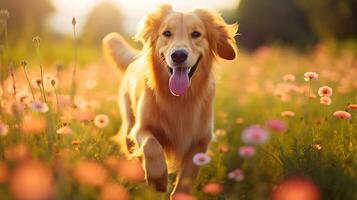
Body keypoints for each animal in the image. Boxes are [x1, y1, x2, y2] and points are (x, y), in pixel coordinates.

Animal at [103, 4, 236, 197]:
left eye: (196, 34)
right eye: (167, 33)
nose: (178, 55)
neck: (179, 99)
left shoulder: (201, 140)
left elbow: (186, 180)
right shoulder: (141, 128)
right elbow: (151, 146)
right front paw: (157, 179)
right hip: (129, 124)